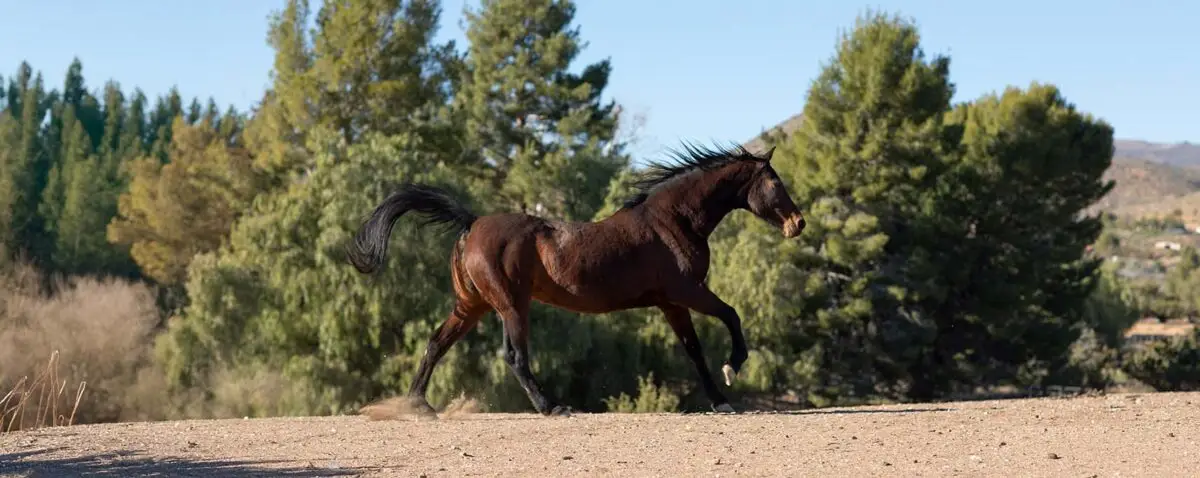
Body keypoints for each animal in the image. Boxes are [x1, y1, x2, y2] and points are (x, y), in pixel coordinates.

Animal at [346, 142, 806, 417]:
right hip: (511, 305)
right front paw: (733, 368)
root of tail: (472, 223)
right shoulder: (687, 291)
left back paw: (417, 405)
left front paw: (720, 400)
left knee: (436, 343)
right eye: (774, 181)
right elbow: (731, 315)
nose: (798, 223)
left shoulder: (671, 303)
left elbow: (693, 351)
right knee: (514, 357)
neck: (674, 220)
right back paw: (551, 407)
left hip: (472, 306)